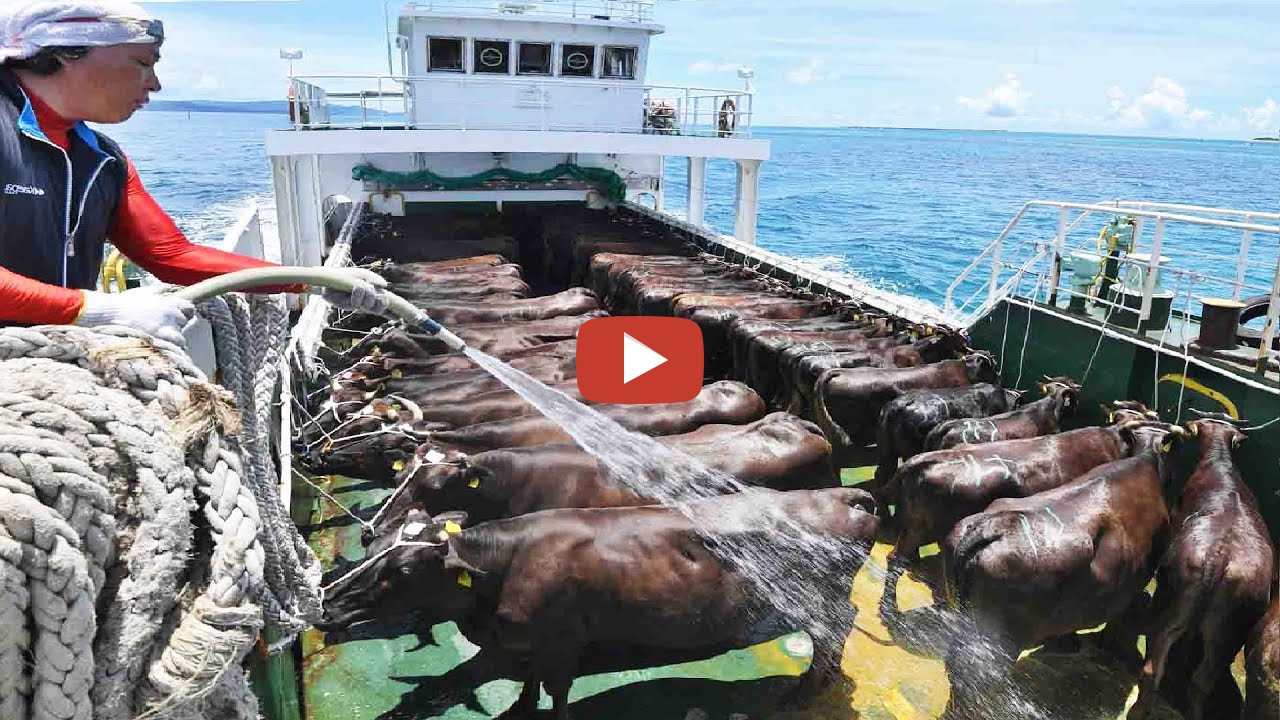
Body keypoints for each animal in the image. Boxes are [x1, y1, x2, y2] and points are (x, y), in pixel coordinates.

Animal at [319, 487, 880, 719]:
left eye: (404, 571)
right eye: (371, 545)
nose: (326, 605)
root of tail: (845, 494)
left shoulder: (559, 646)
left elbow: (551, 691)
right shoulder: (526, 645)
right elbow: (526, 685)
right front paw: (521, 709)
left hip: (818, 601)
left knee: (834, 630)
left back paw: (802, 693)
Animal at [1130, 414, 1275, 720]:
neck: (1220, 463)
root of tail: (1219, 557)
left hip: (1171, 604)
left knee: (1157, 668)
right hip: (1225, 633)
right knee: (1198, 681)